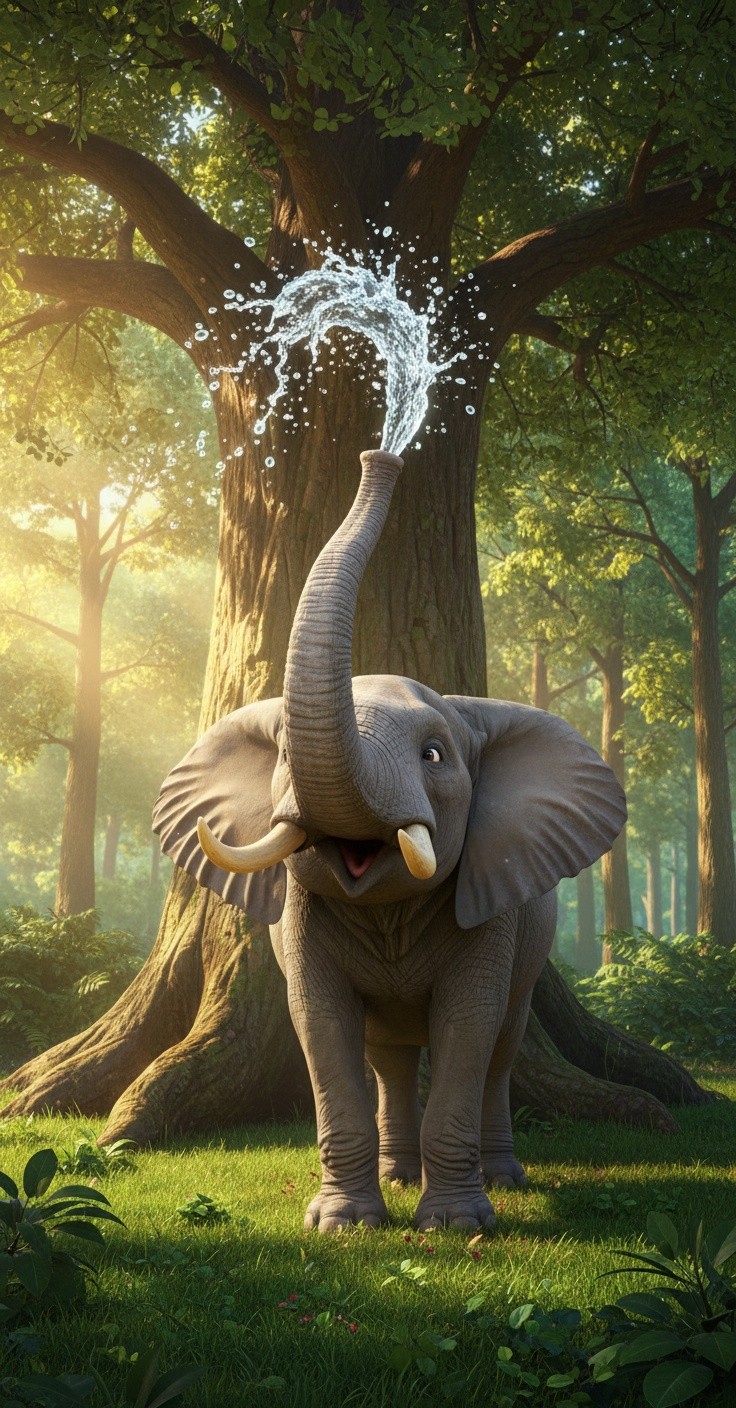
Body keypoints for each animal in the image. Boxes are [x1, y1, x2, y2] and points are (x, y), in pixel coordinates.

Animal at [154, 449, 626, 1233]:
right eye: (282, 756)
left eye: (434, 755)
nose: (381, 455)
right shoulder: (301, 918)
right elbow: (321, 1026)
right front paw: (342, 1223)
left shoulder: (490, 907)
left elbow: (469, 1024)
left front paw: (459, 1224)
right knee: (390, 1057)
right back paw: (397, 1176)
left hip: (537, 940)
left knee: (501, 1044)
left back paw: (501, 1178)